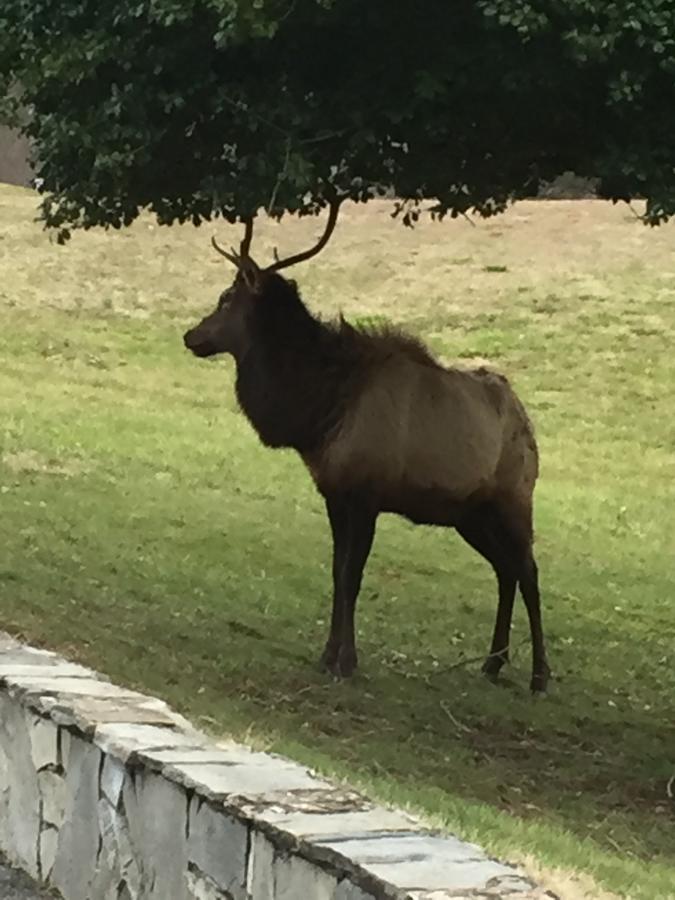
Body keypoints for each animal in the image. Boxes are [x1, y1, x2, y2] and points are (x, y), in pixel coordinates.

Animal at [182, 204, 552, 692]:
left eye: (226, 297)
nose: (191, 336)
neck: (319, 413)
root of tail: (528, 424)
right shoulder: (334, 493)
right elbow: (338, 573)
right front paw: (327, 655)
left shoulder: (367, 494)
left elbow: (353, 576)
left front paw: (346, 661)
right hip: (470, 514)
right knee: (505, 570)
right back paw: (492, 663)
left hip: (513, 499)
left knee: (528, 570)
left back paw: (540, 675)